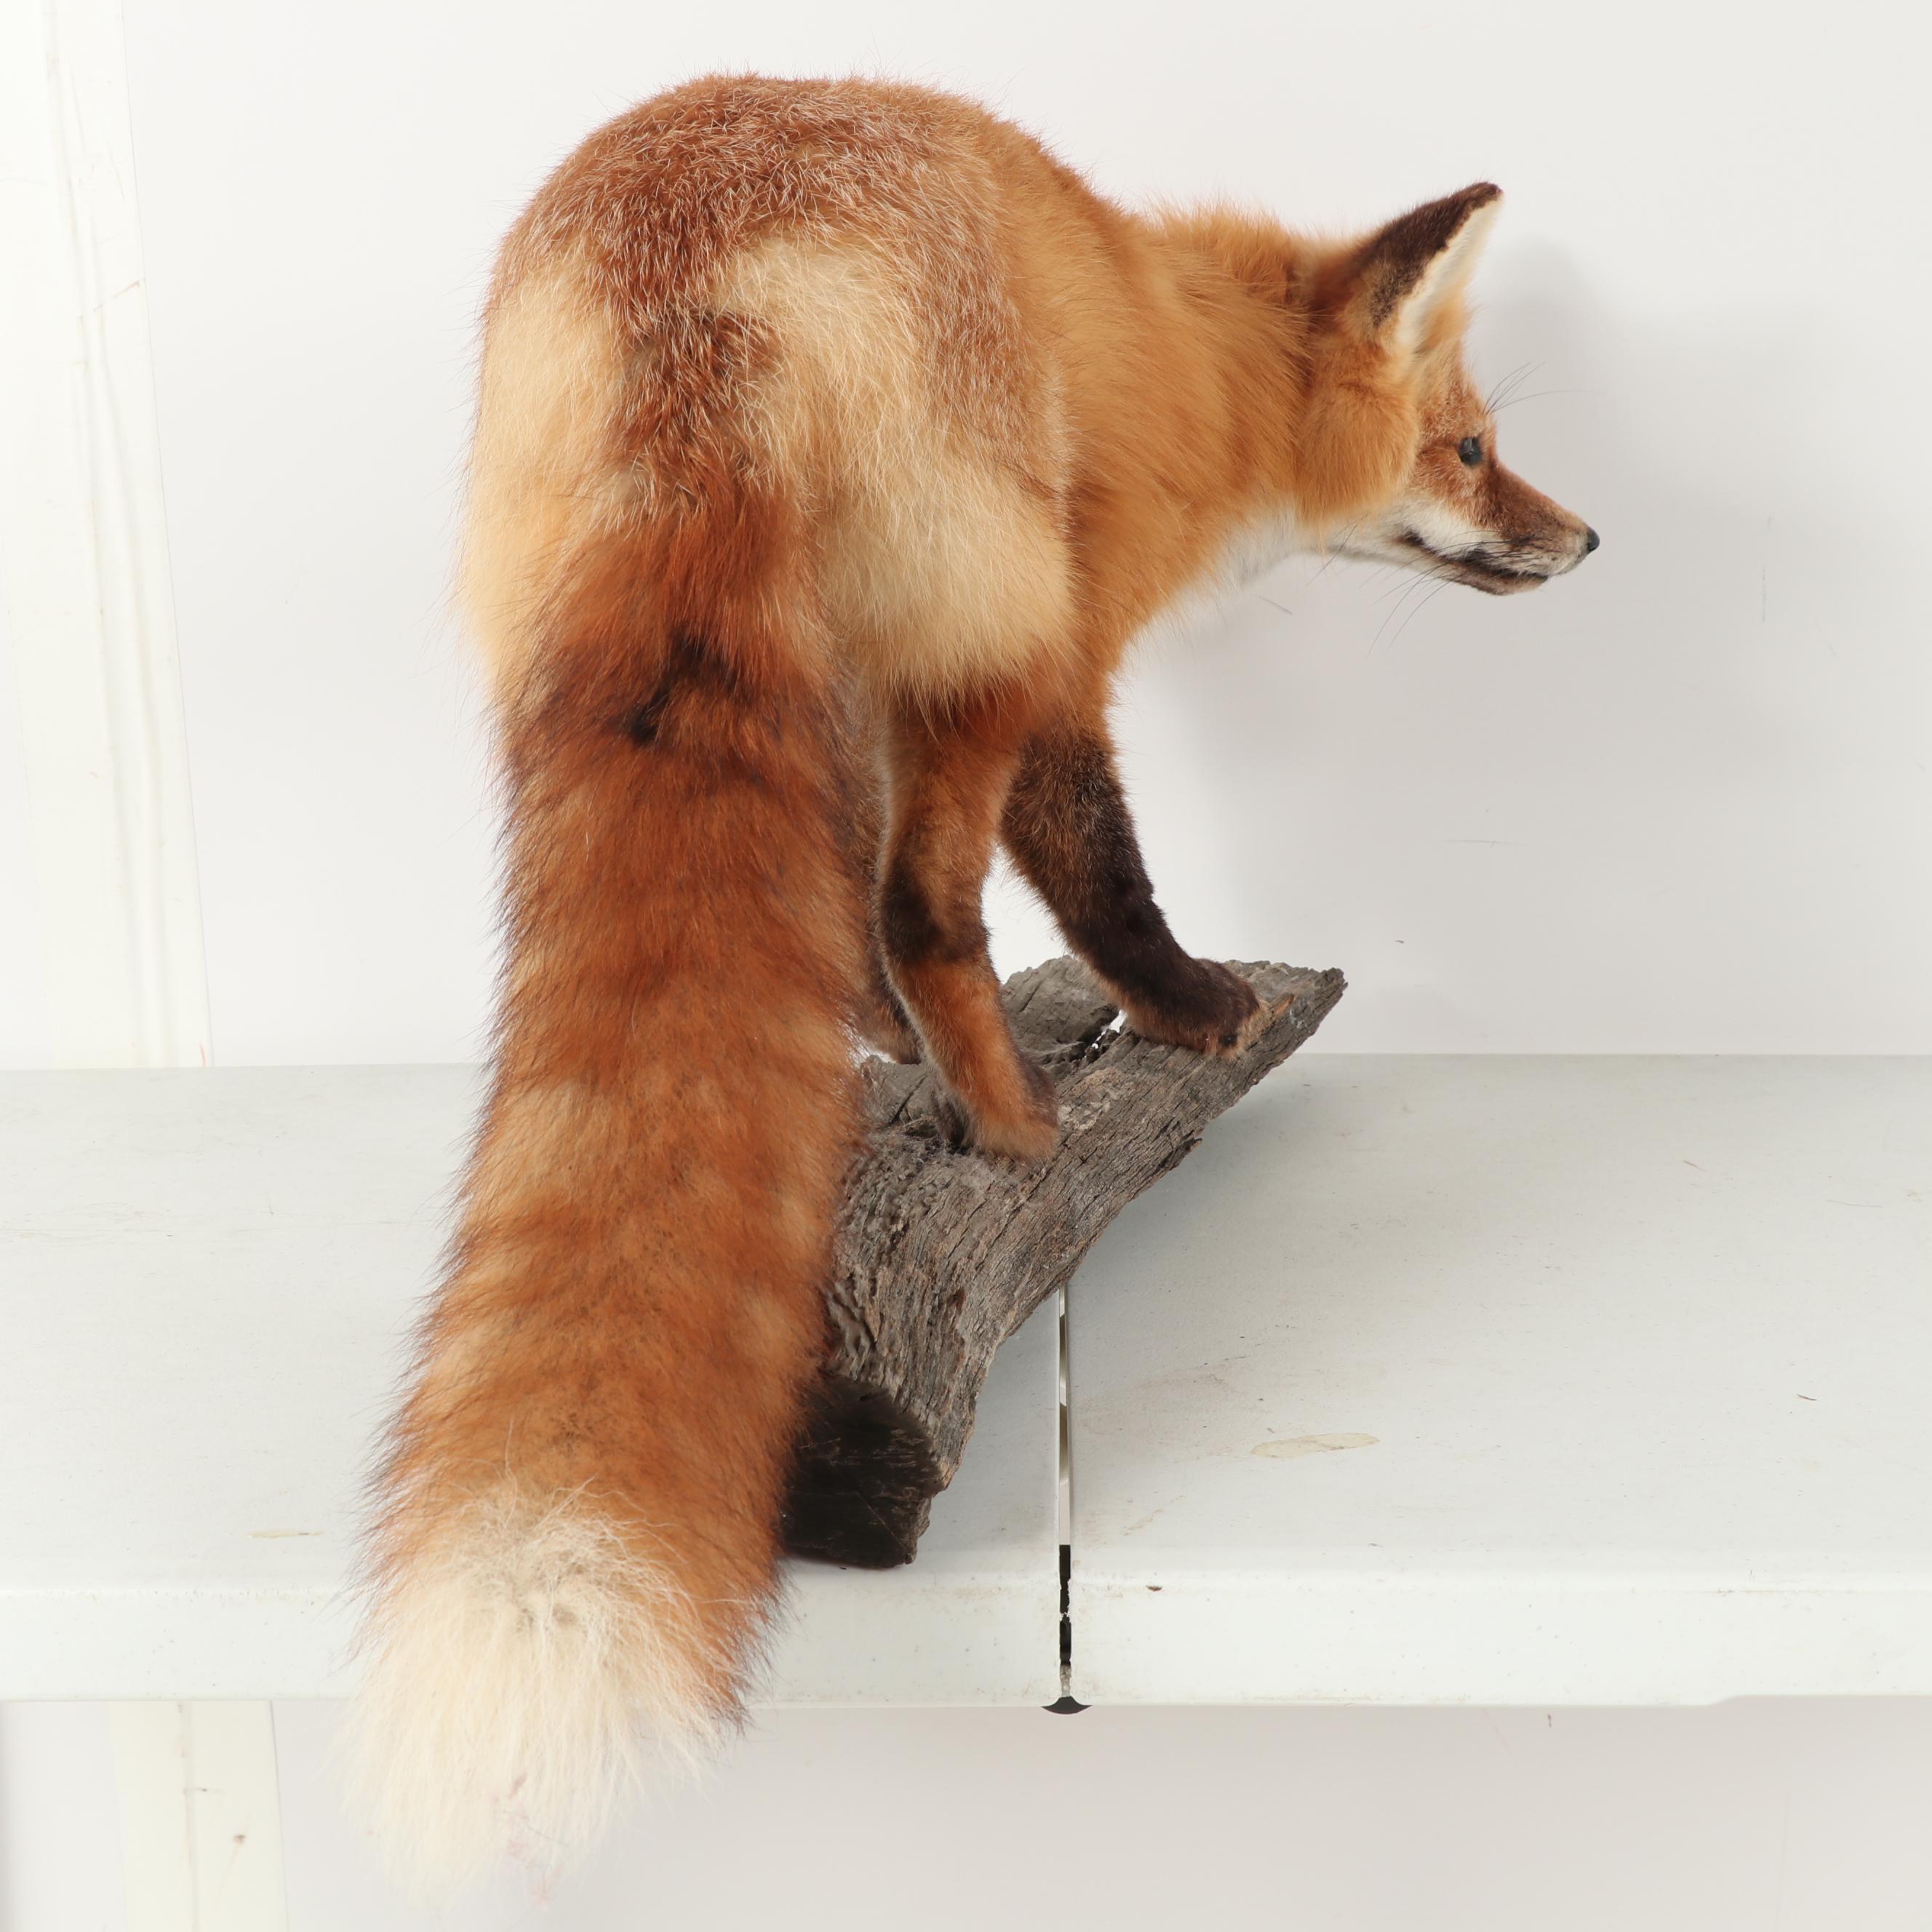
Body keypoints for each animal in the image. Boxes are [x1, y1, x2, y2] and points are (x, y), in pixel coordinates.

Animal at [351, 73, 1595, 1890]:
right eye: (1470, 449)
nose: (1583, 536)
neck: (1167, 335)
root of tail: (691, 265)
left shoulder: (894, 659)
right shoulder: (1064, 631)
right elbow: (1092, 866)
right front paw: (1183, 1006)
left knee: (854, 911)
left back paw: (922, 1075)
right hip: (980, 616)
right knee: (926, 907)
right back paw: (1012, 1122)